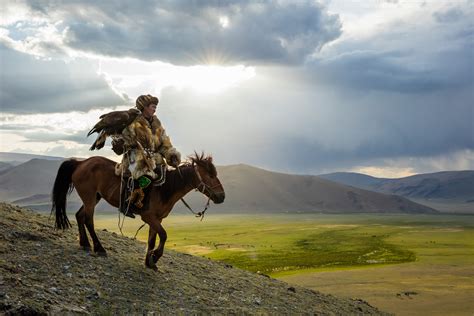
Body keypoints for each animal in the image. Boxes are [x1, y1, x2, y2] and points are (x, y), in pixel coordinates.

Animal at [51, 152, 225, 270]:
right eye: (210, 175)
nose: (222, 197)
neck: (165, 188)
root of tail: (80, 163)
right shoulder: (148, 217)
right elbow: (163, 235)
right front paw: (155, 257)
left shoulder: (157, 219)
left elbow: (152, 239)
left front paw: (149, 262)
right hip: (89, 198)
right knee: (88, 220)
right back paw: (99, 248)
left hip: (94, 197)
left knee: (79, 216)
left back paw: (85, 244)